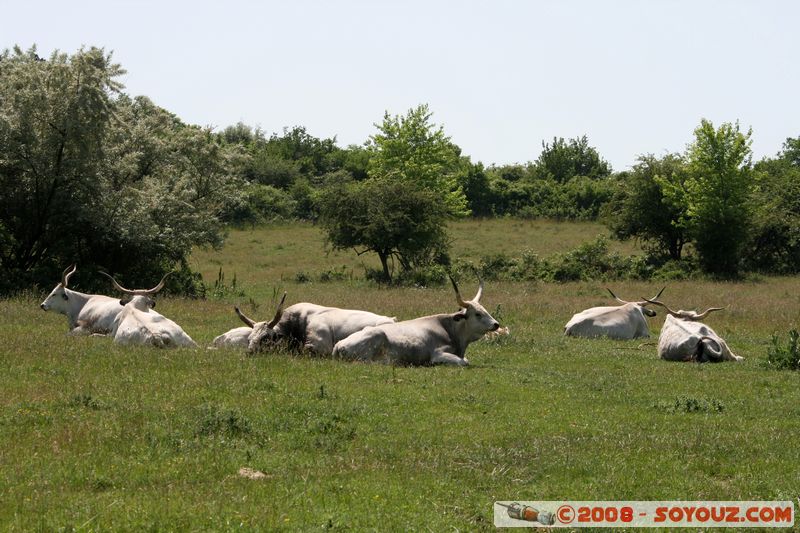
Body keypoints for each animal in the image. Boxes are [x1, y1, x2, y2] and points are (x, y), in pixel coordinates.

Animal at [331, 274, 501, 366]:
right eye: (477, 314)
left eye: (484, 310)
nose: (496, 324)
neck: (450, 330)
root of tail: (339, 344)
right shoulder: (438, 354)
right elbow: (464, 362)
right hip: (375, 337)